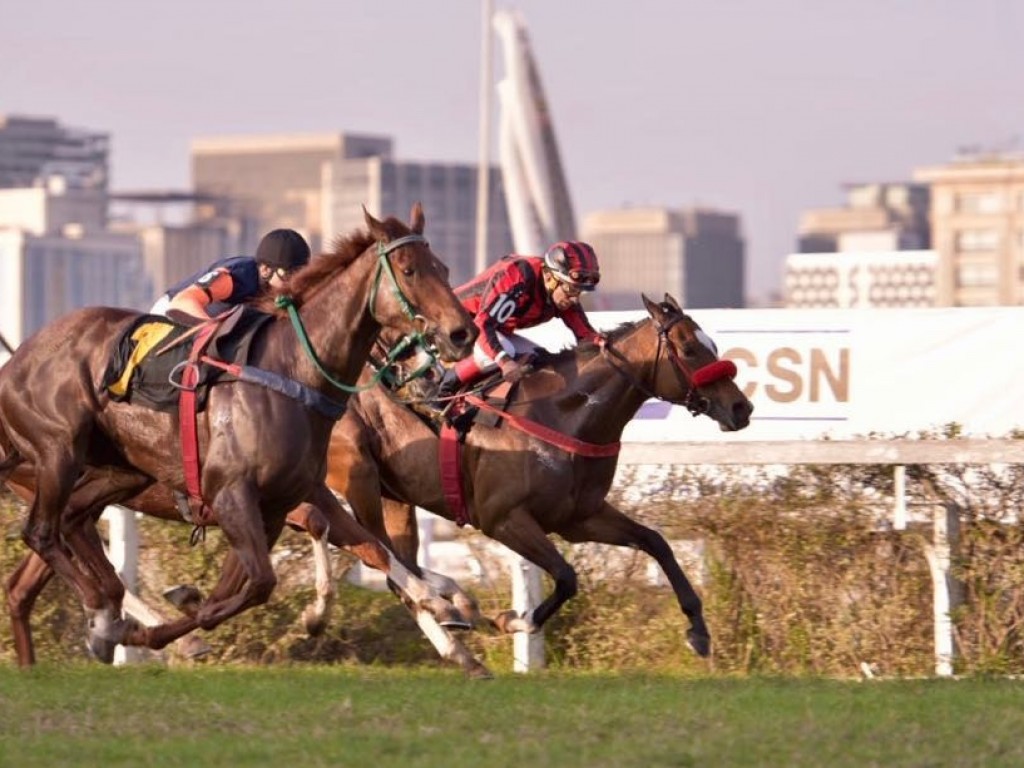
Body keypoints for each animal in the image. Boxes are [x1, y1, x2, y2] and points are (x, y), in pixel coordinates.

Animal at [0, 204, 477, 663]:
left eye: (444, 268)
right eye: (410, 270)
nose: (462, 335)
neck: (291, 372)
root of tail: (16, 360)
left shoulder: (282, 501)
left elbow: (371, 553)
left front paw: (446, 610)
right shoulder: (240, 496)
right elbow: (272, 576)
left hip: (118, 473)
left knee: (52, 548)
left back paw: (91, 624)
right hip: (58, 453)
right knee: (43, 533)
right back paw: (104, 612)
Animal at [321, 294, 761, 671]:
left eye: (712, 345)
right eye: (689, 350)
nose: (742, 407)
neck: (560, 415)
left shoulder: (578, 518)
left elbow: (656, 542)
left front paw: (698, 630)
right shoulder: (503, 519)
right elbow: (566, 577)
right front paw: (514, 620)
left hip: (395, 496)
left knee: (401, 564)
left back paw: (456, 624)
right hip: (359, 477)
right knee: (382, 557)